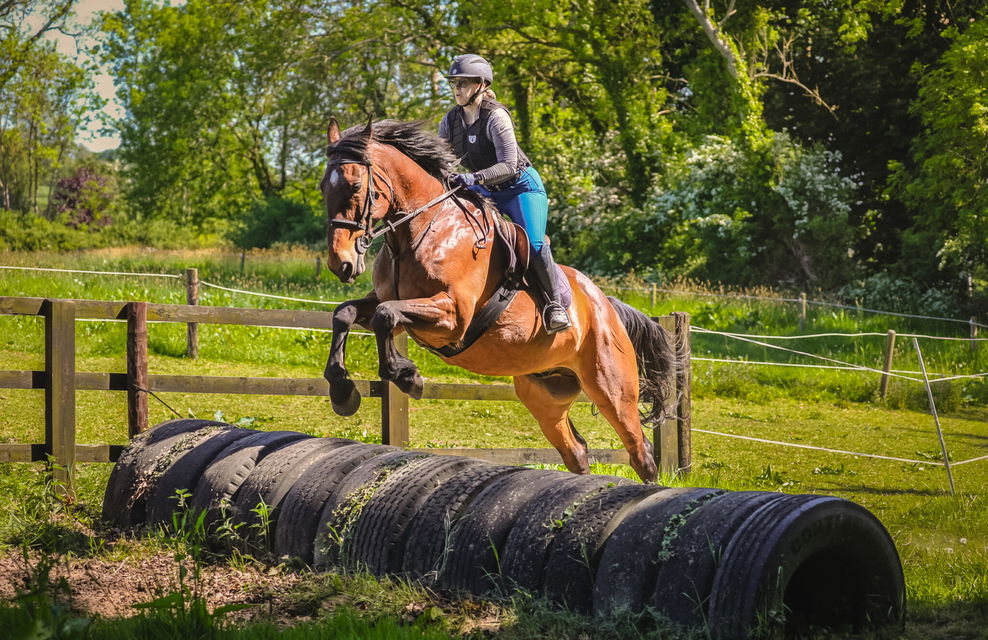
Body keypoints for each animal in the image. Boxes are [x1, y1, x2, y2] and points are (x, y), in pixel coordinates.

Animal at [319, 118, 676, 483]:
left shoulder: (453, 317)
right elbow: (346, 313)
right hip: (545, 393)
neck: (422, 231)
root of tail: (606, 305)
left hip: (611, 387)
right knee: (576, 450)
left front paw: (408, 377)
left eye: (355, 186)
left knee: (640, 450)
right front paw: (342, 391)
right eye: (323, 188)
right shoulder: (390, 304)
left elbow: (385, 316)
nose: (340, 263)